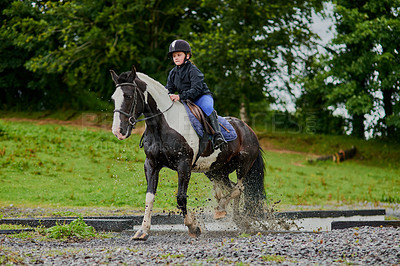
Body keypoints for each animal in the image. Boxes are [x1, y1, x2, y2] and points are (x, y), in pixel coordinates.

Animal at [110, 65, 266, 240]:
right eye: (113, 98)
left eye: (128, 96)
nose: (118, 131)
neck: (162, 125)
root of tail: (249, 130)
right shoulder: (151, 165)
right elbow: (149, 197)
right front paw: (142, 231)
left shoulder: (184, 165)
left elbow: (180, 197)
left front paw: (193, 226)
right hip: (216, 171)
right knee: (233, 189)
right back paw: (234, 217)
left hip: (243, 166)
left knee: (239, 188)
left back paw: (223, 210)